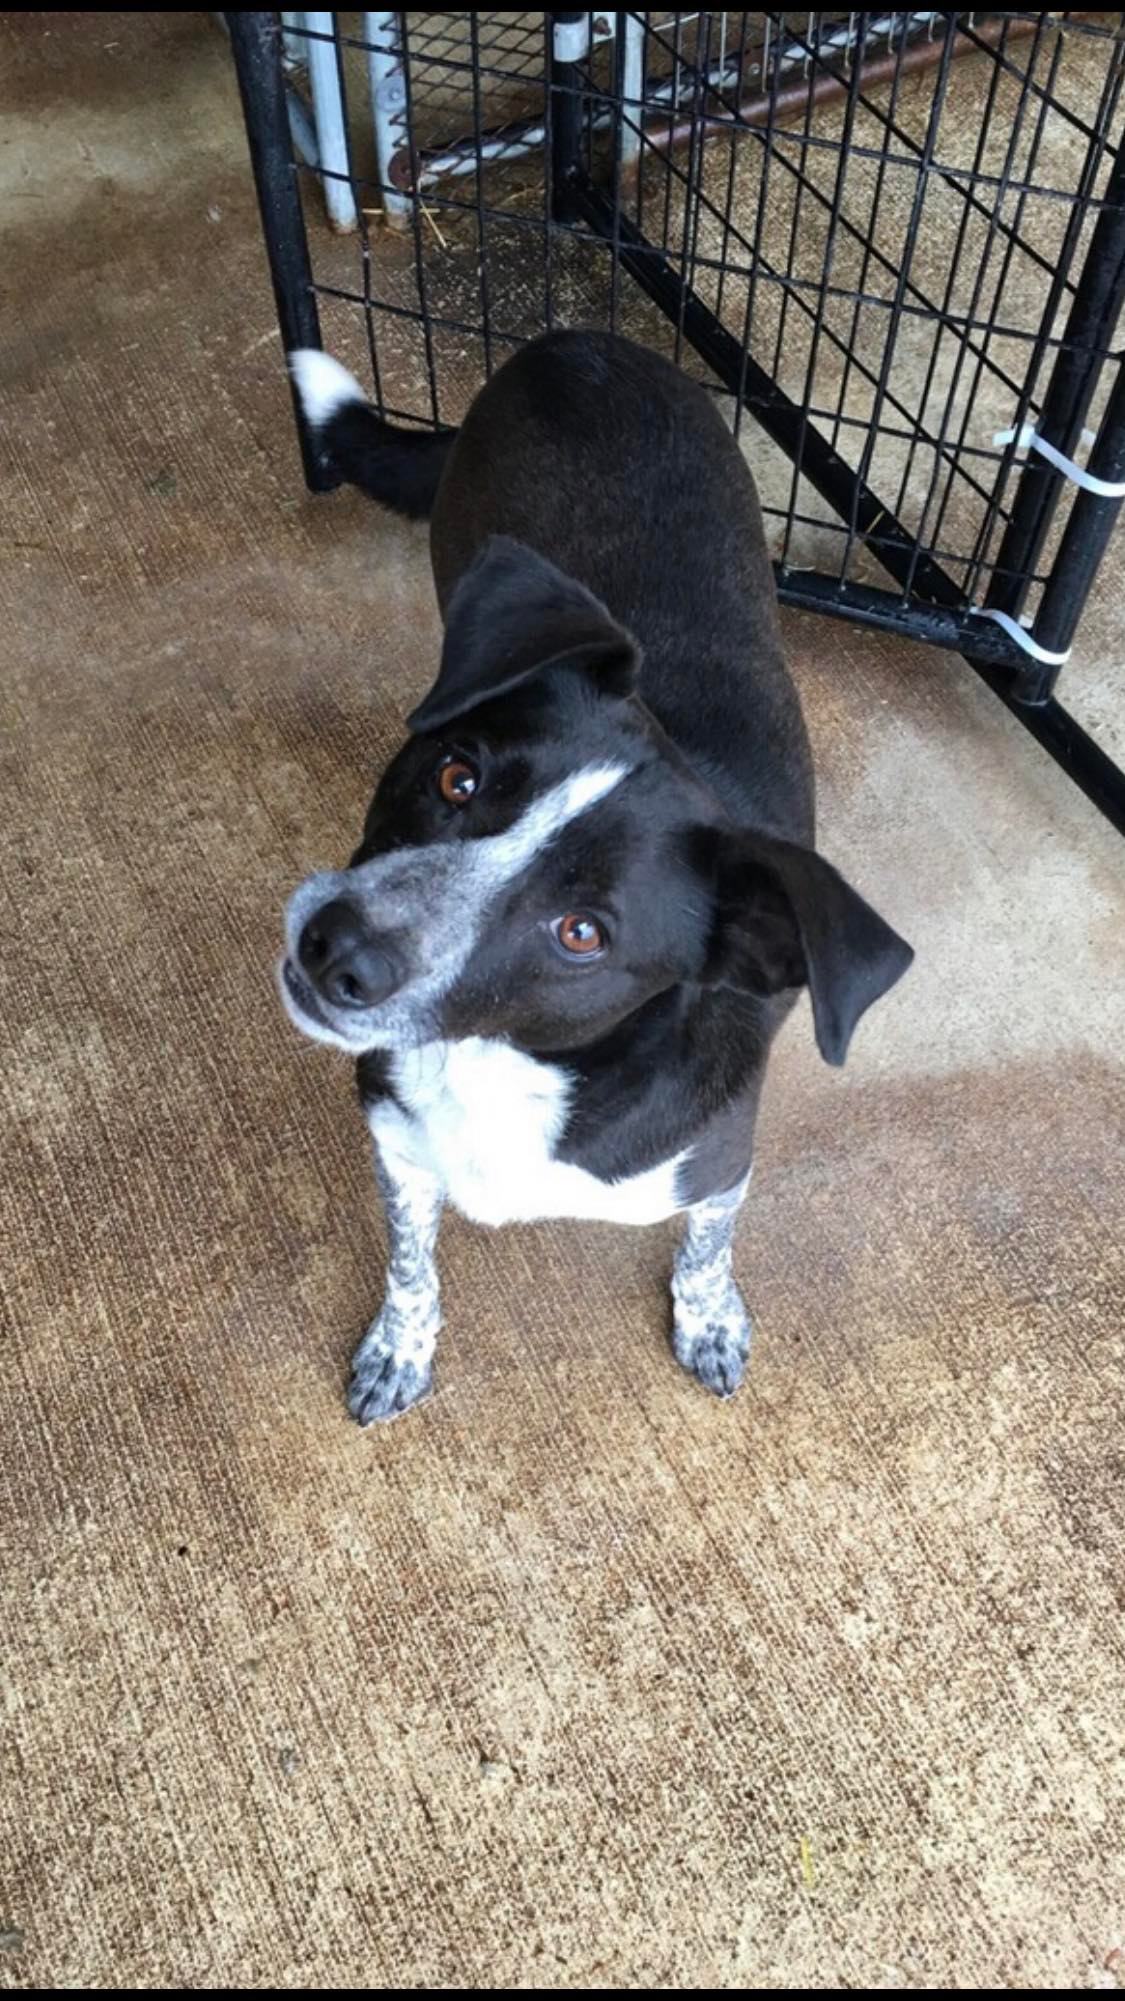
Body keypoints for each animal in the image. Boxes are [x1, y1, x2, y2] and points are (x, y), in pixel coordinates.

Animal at [280, 332, 912, 1424]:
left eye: (584, 934)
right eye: (456, 775)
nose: (335, 949)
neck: (500, 1063)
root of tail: (576, 344)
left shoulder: (719, 1168)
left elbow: (706, 1248)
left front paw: (710, 1320)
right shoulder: (397, 1144)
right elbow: (412, 1264)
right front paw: (401, 1347)